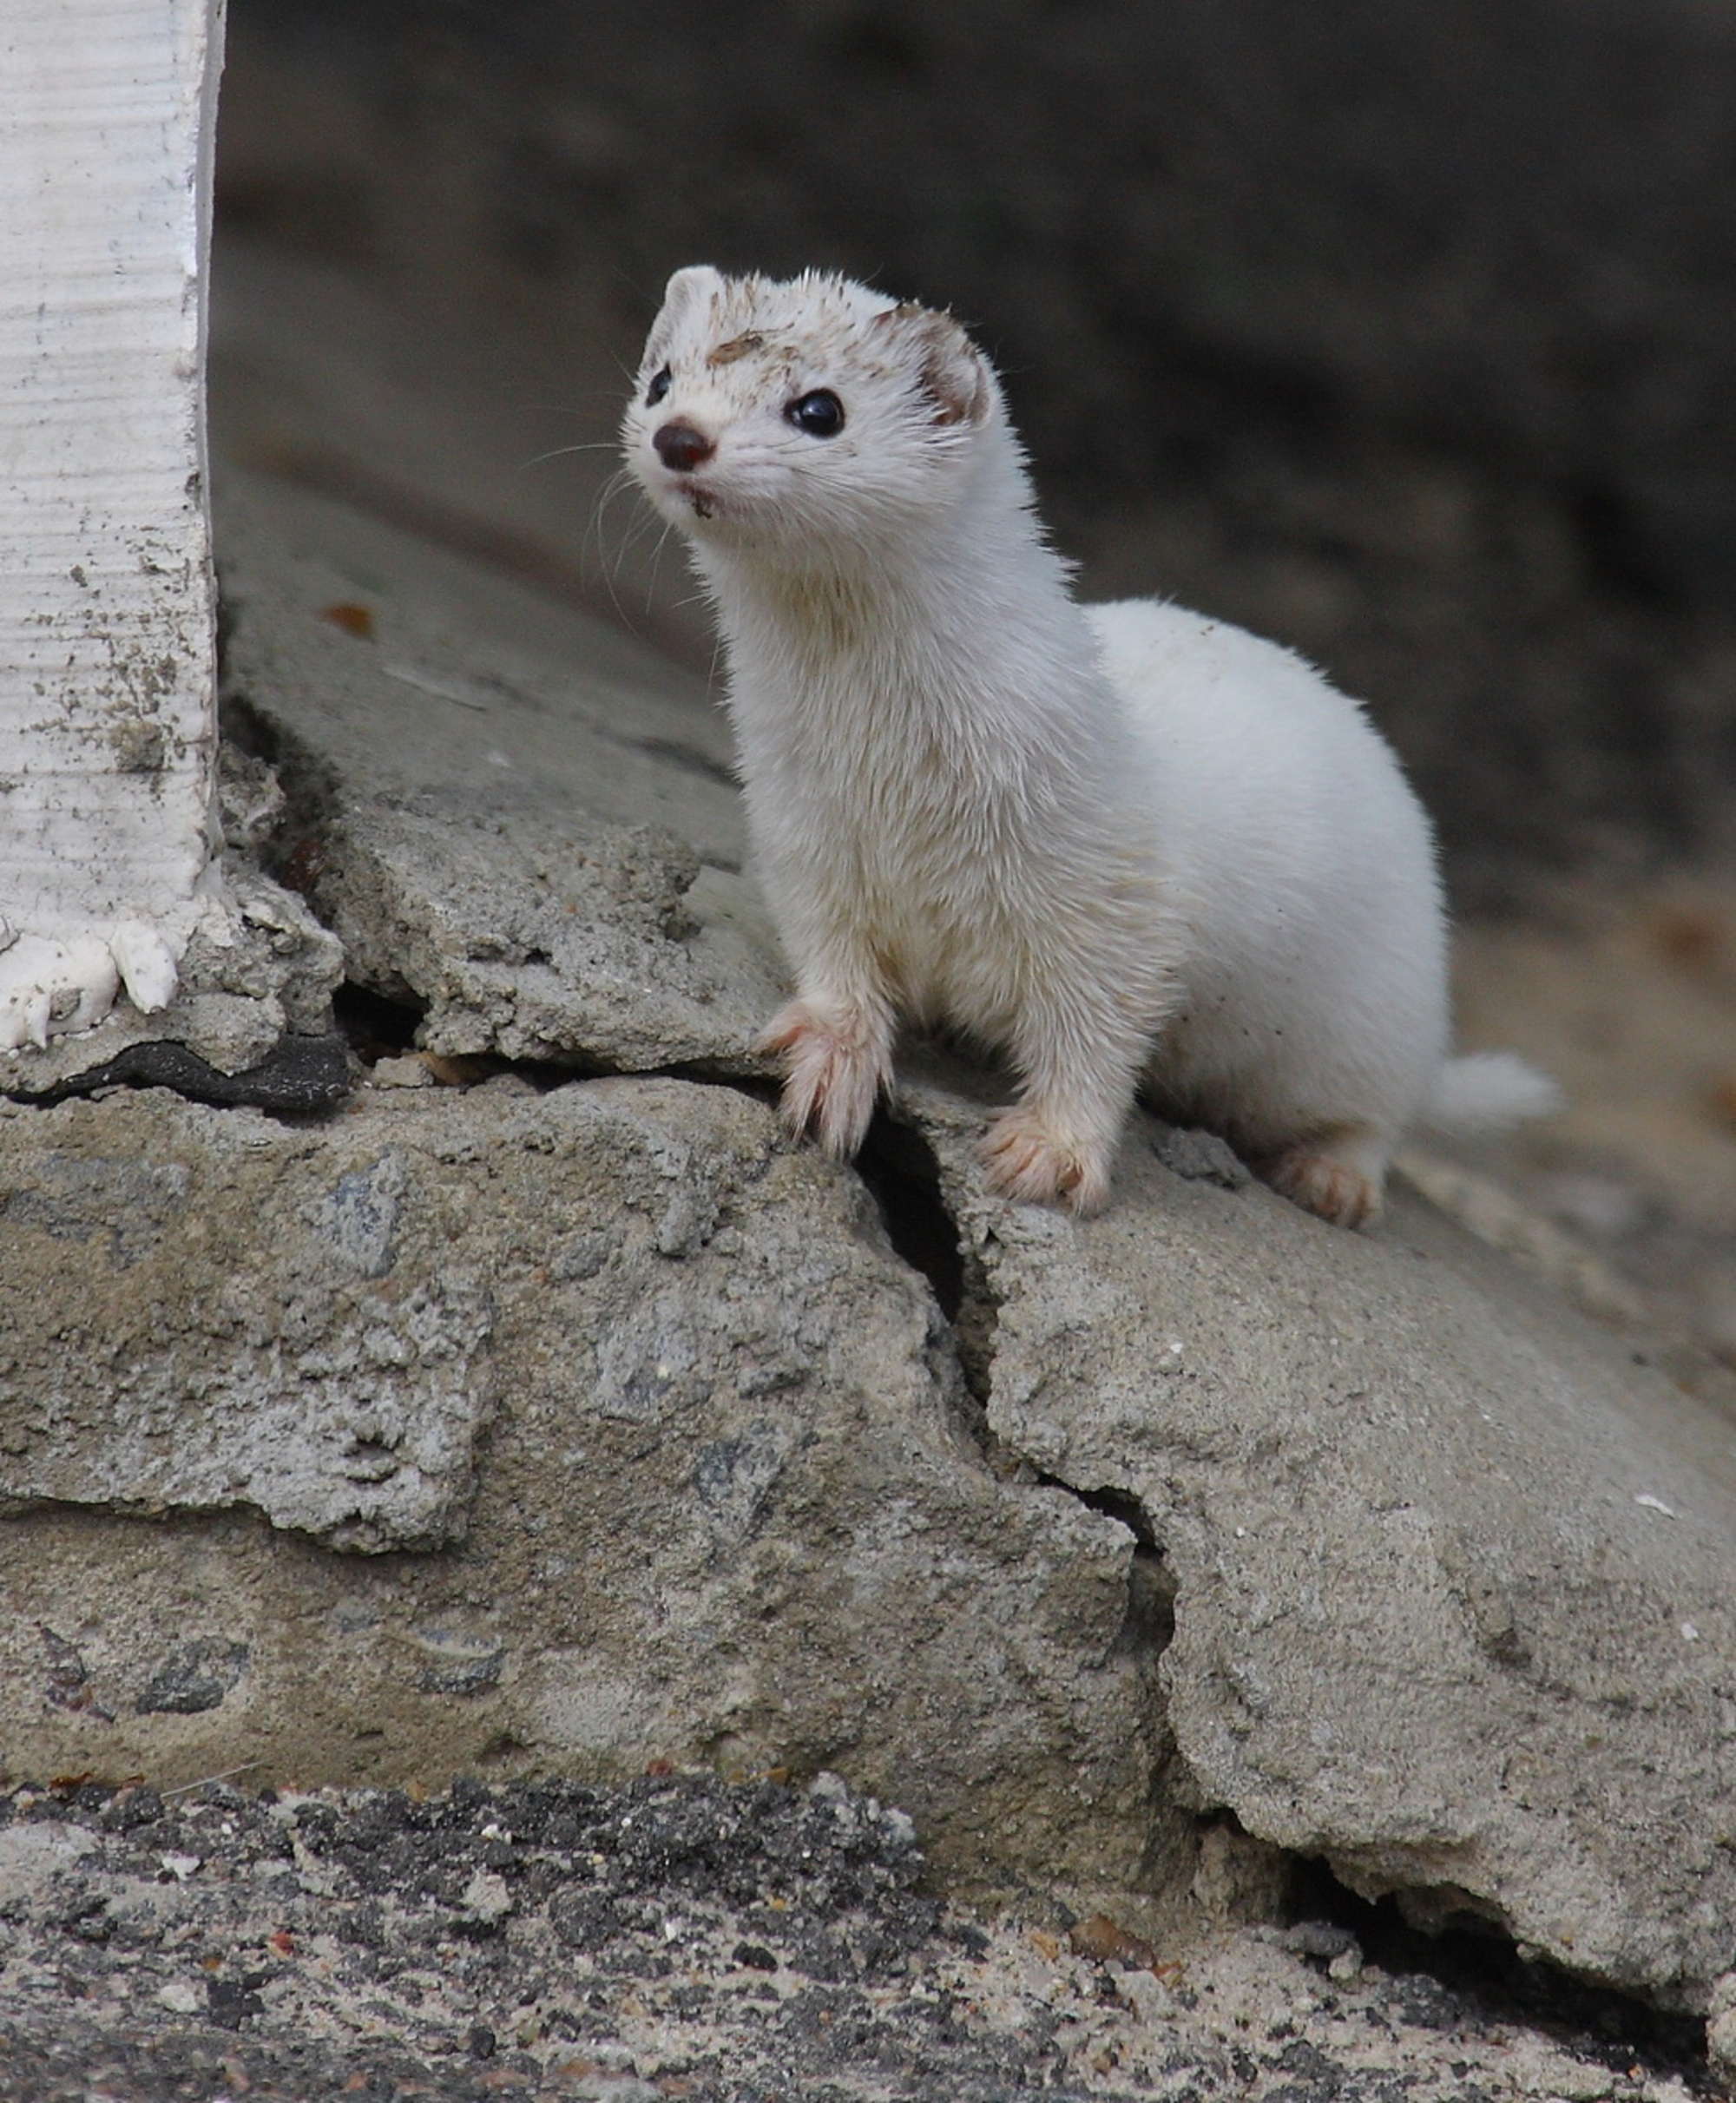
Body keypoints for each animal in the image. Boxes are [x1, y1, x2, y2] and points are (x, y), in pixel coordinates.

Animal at [622, 265, 1556, 1228]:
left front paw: (1051, 1149)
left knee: (1379, 1111)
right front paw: (831, 1062)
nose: (681, 436)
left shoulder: (1114, 888)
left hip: (1371, 1008)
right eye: (661, 379)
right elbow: (831, 957)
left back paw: (1331, 1175)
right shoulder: (800, 832)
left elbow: (1098, 1027)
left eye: (818, 409)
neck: (889, 783)